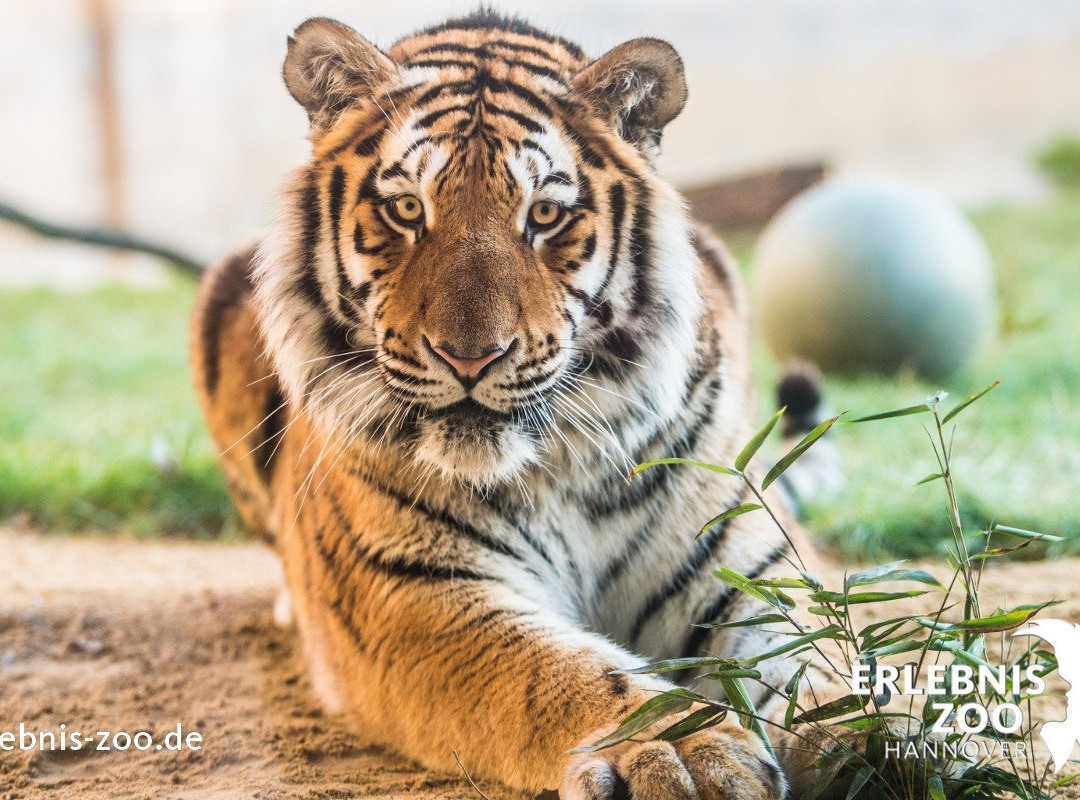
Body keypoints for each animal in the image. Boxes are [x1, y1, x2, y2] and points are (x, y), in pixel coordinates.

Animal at [192, 12, 851, 798]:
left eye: (544, 215)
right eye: (407, 209)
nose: (470, 357)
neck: (556, 467)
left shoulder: (743, 566)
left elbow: (823, 660)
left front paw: (890, 739)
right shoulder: (417, 595)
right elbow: (564, 674)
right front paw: (686, 752)